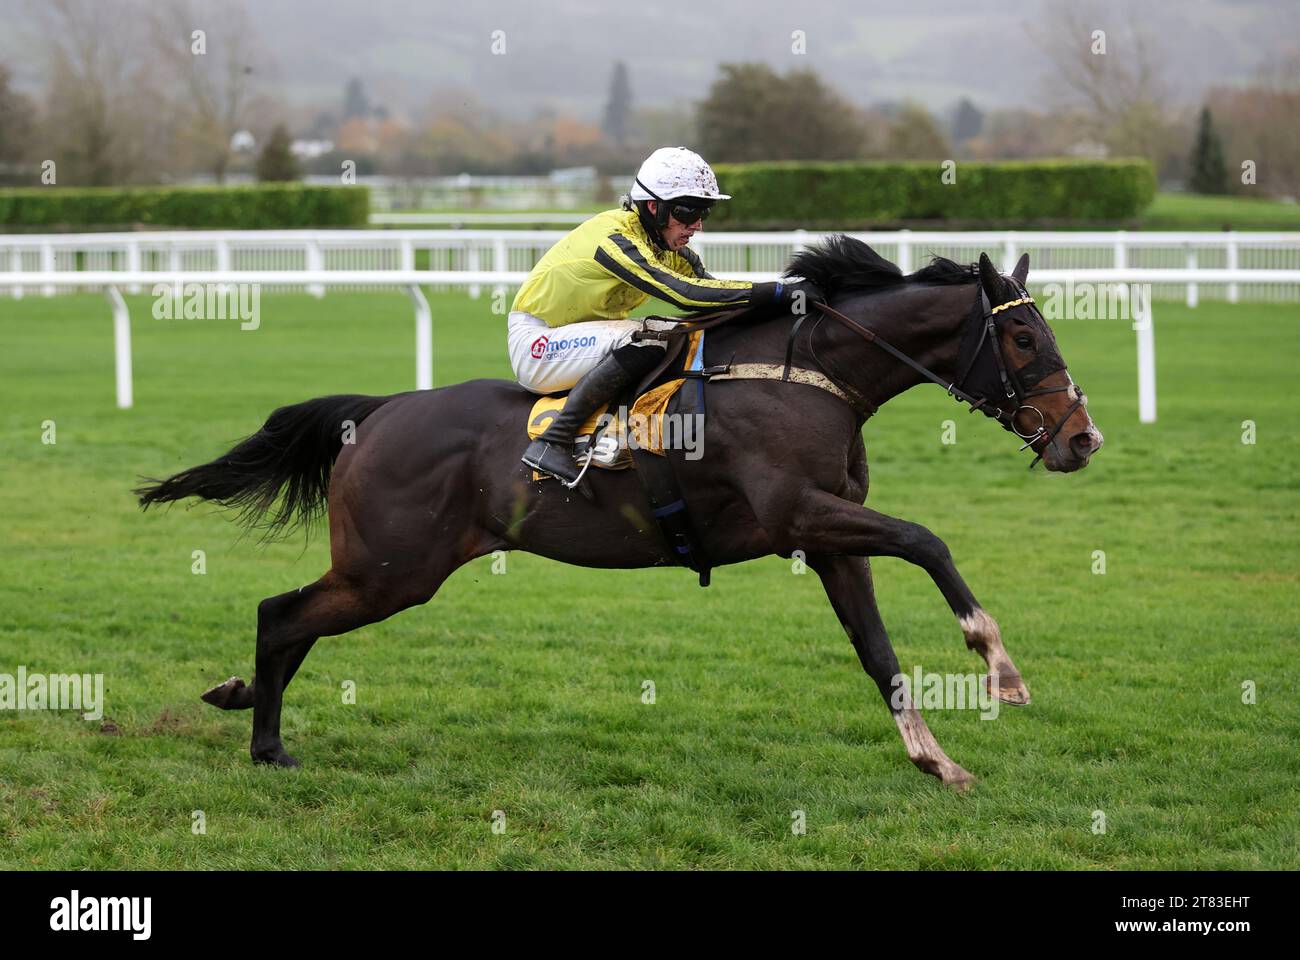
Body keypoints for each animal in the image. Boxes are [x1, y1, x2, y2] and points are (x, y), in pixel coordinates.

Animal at [136, 237, 1103, 790]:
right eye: (1023, 337)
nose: (1082, 438)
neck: (807, 371)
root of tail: (375, 411)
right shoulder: (799, 515)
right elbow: (927, 539)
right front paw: (998, 665)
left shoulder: (827, 537)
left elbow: (879, 651)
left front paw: (935, 758)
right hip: (391, 570)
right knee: (282, 613)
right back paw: (266, 743)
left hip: (383, 569)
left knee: (290, 619)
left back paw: (240, 700)